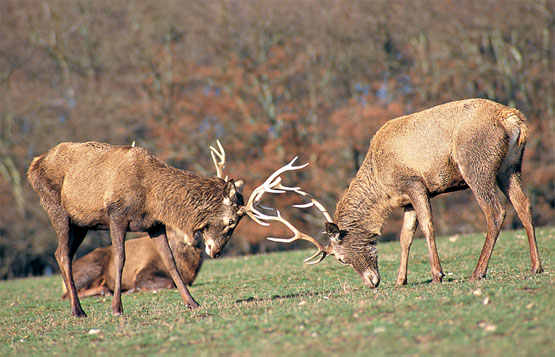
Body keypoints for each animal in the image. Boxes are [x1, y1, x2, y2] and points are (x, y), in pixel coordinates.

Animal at [28, 140, 306, 316]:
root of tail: (33, 165)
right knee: (63, 254)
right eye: (231, 222)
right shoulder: (116, 215)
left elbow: (170, 262)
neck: (152, 196)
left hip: (81, 223)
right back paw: (78, 311)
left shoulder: (154, 224)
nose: (216, 252)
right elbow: (120, 258)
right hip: (57, 209)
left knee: (61, 254)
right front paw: (117, 309)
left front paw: (193, 303)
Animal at [268, 98, 544, 288]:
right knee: (524, 205)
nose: (371, 282)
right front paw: (401, 280)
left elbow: (428, 227)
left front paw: (437, 274)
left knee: (495, 211)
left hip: (476, 164)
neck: (382, 188)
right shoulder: (406, 202)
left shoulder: (415, 184)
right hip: (510, 167)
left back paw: (478, 272)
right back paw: (536, 266)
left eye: (341, 259)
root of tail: (513, 119)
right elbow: (405, 237)